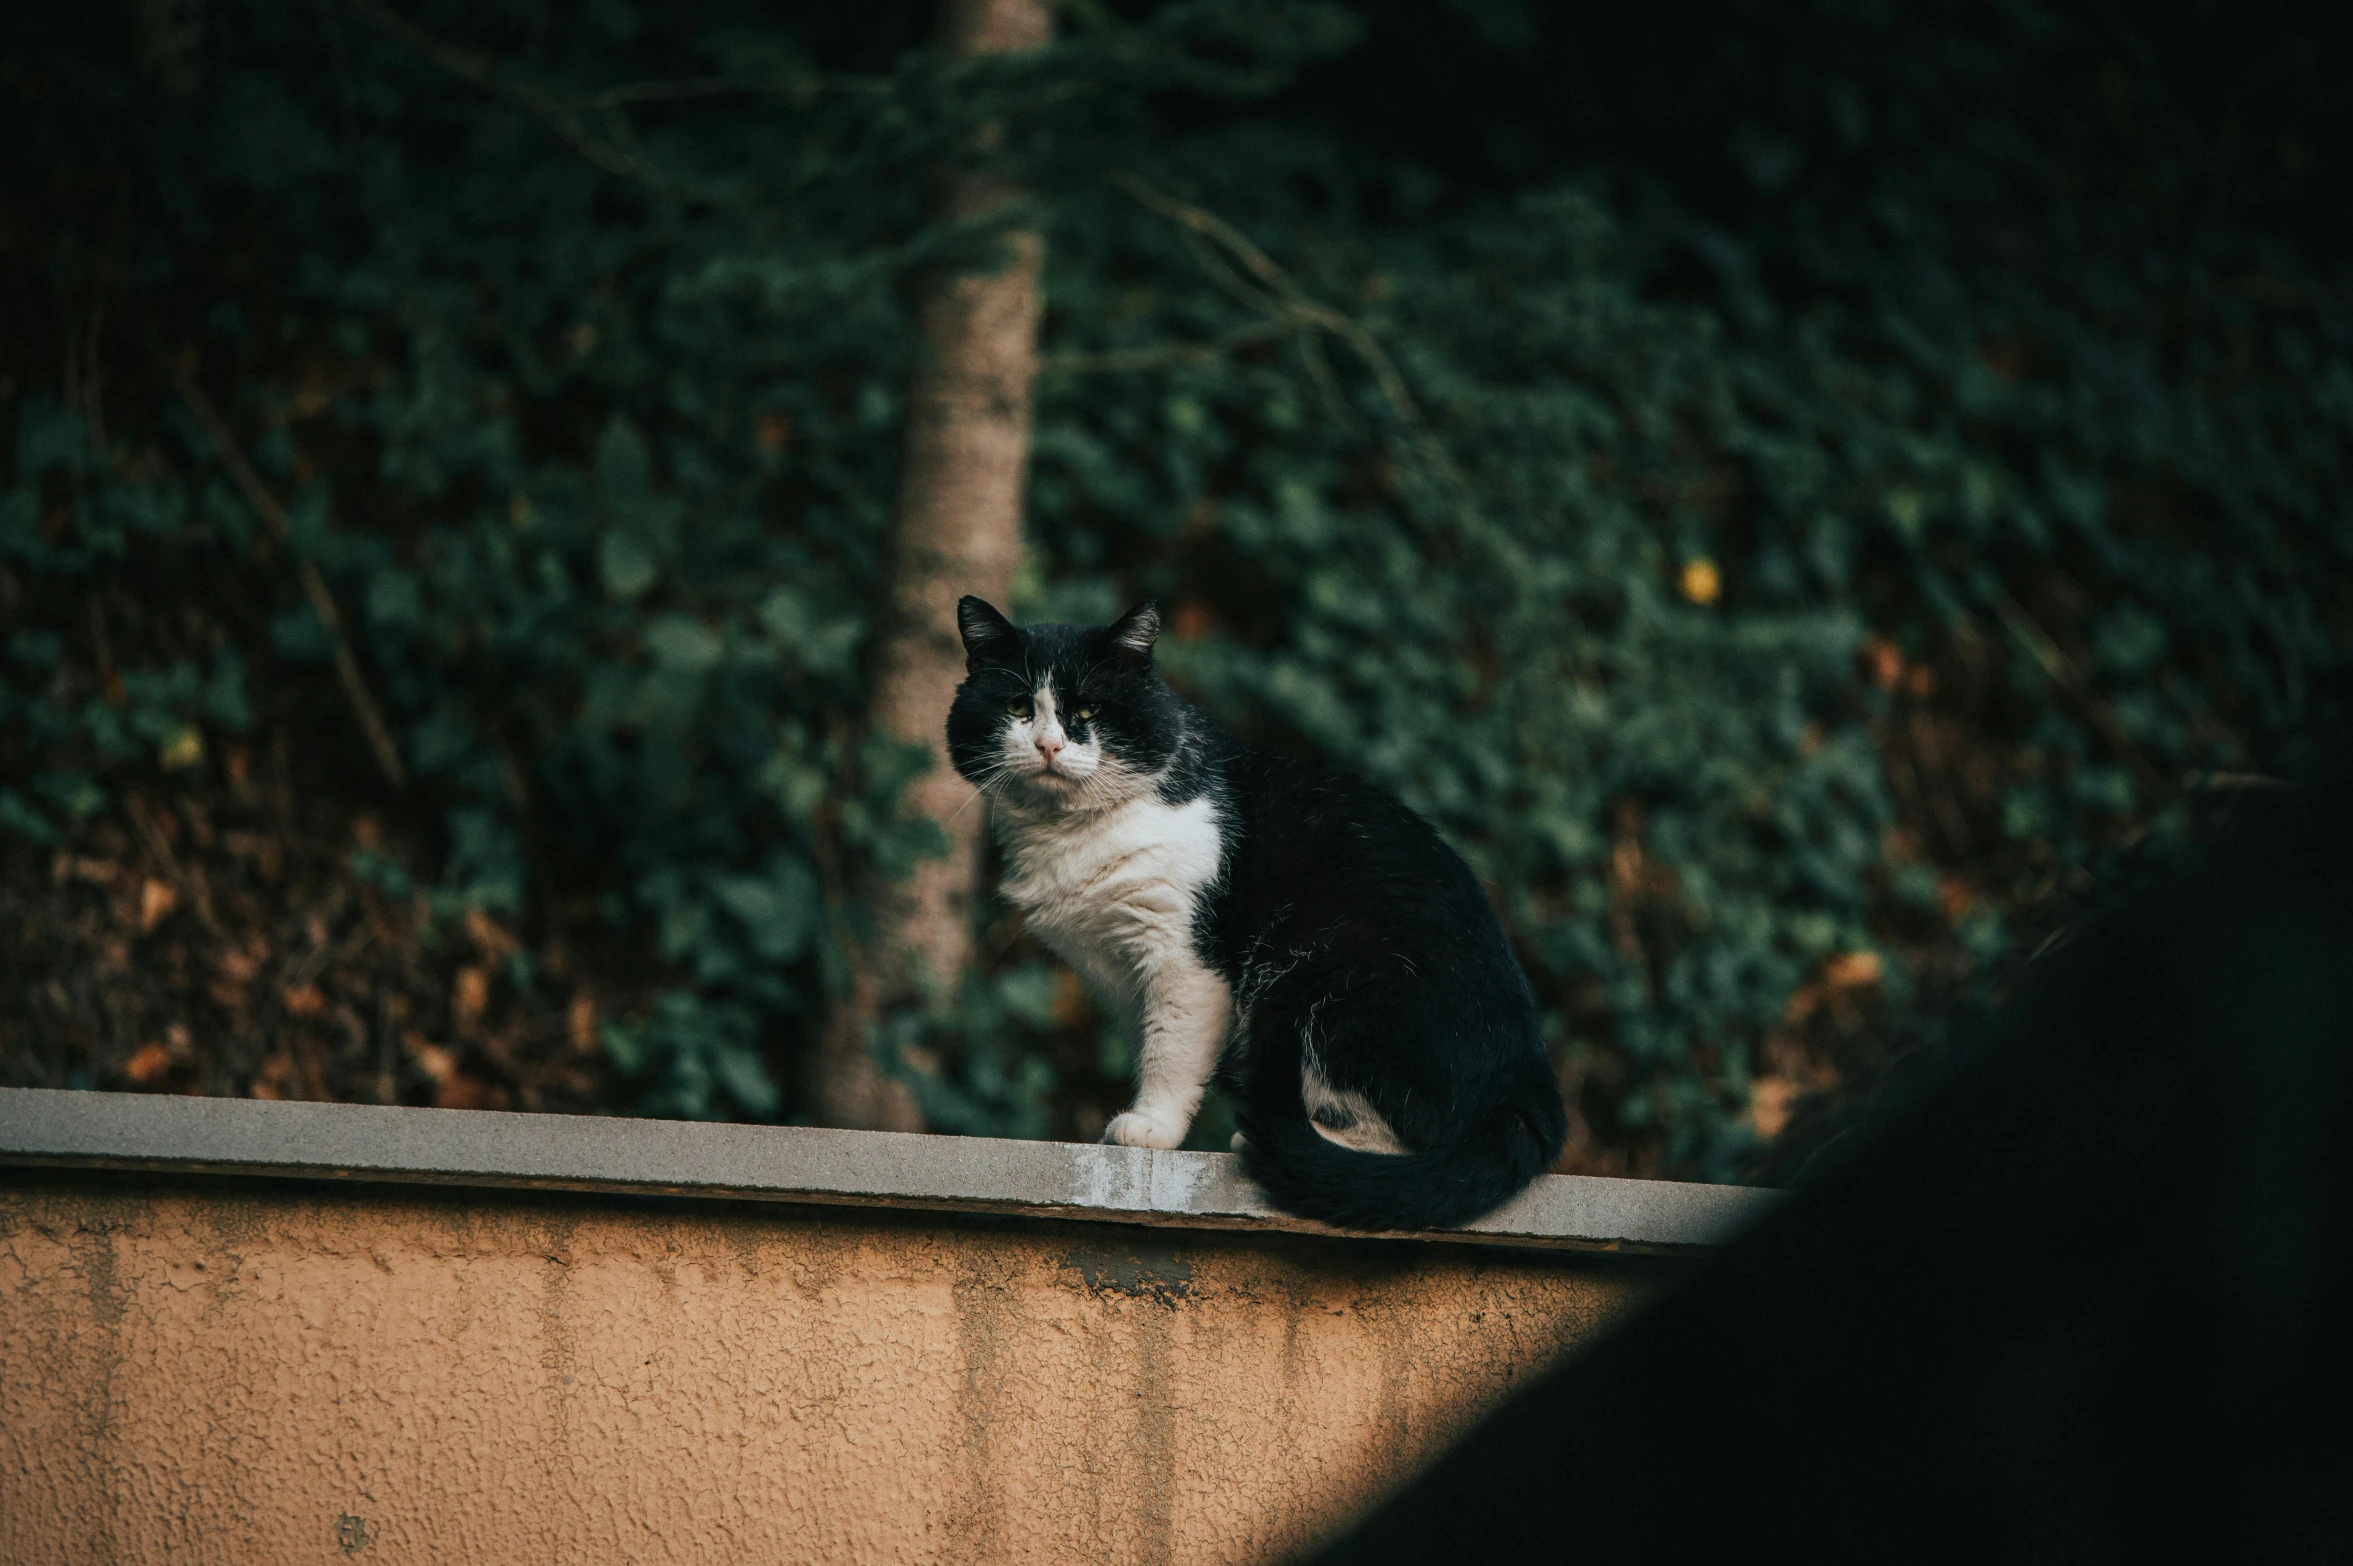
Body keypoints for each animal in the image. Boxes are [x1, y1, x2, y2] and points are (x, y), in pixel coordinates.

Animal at [936, 592, 1562, 1222]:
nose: (1048, 745)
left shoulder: (1185, 955)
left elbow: (1171, 1048)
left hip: (1330, 983)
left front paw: (1150, 1127)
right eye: (1017, 706)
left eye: (1087, 710)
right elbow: (1148, 1041)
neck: (1074, 835)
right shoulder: (1118, 974)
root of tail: (1528, 1085)